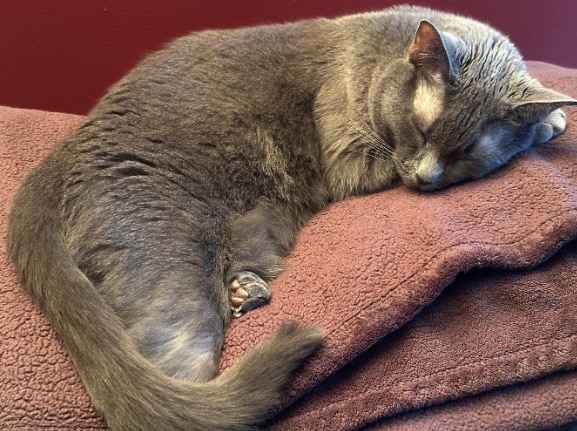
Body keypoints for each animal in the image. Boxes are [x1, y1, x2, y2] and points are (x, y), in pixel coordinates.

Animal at [6, 4, 572, 431]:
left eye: (465, 154)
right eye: (421, 129)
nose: (426, 178)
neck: (376, 60)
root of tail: (63, 152)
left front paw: (549, 117)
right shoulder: (350, 154)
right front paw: (550, 123)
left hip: (258, 221)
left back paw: (246, 290)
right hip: (169, 247)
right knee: (178, 385)